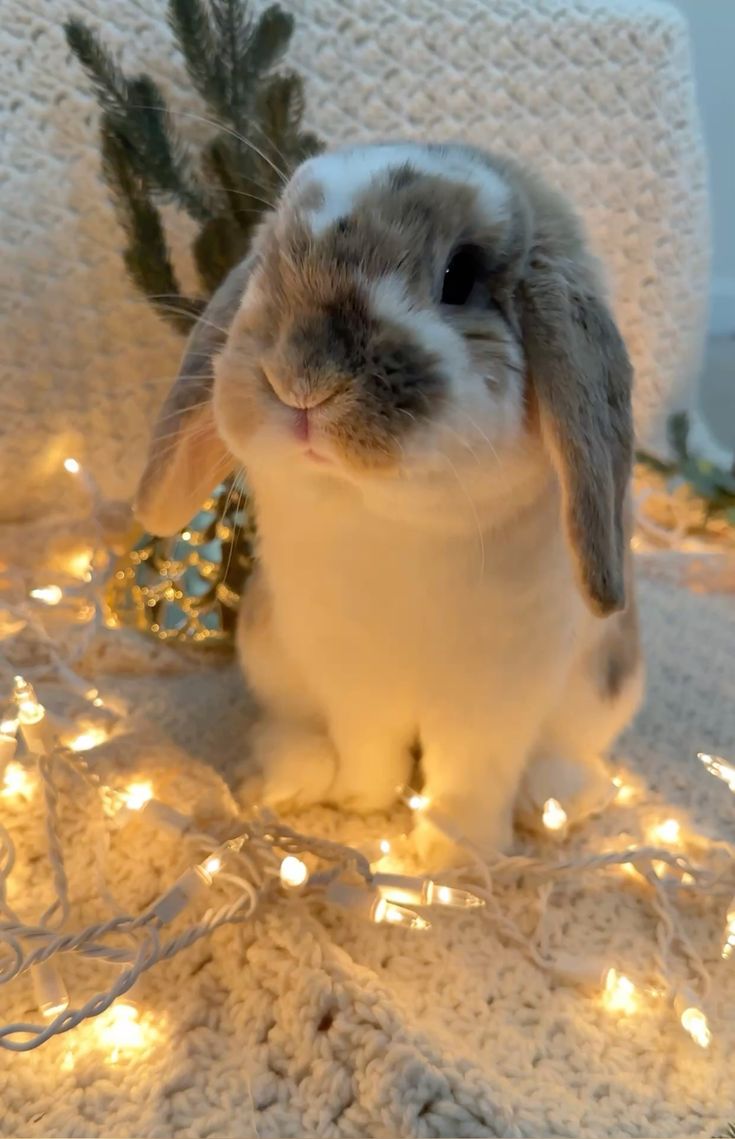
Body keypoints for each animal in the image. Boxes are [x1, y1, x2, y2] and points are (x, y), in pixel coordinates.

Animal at [135, 141, 643, 866]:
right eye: (269, 262)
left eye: (459, 275)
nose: (301, 377)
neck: (389, 516)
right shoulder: (352, 679)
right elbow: (368, 745)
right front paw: (361, 806)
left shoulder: (493, 699)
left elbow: (469, 774)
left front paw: (458, 855)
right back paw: (290, 775)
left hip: (601, 692)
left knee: (564, 756)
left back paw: (554, 798)